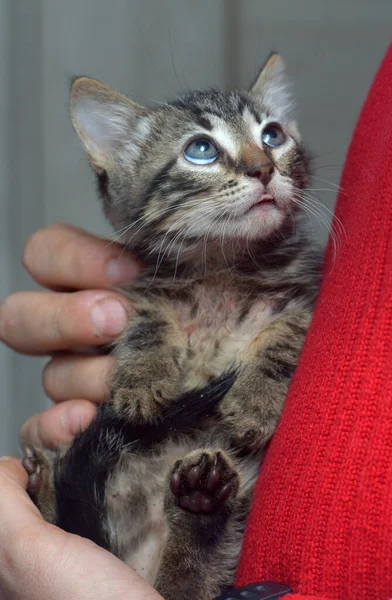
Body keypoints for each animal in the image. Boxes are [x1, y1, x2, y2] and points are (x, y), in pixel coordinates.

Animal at [23, 55, 322, 600]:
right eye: (200, 150)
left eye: (272, 136)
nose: (263, 167)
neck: (222, 268)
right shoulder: (147, 295)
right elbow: (146, 329)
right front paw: (141, 383)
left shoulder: (301, 298)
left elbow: (282, 343)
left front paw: (254, 403)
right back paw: (46, 488)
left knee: (186, 582)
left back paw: (199, 502)